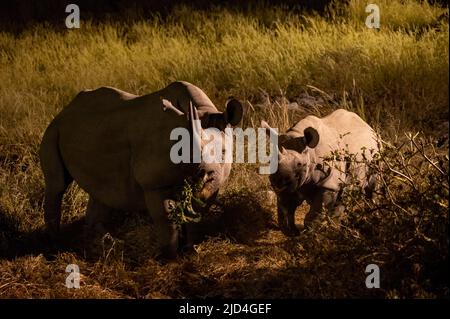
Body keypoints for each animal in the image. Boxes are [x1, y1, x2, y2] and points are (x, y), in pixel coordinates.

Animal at [40, 80, 243, 260]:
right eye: (180, 152)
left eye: (224, 152)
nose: (200, 175)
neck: (202, 110)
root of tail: (65, 110)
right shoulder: (152, 182)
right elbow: (165, 218)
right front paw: (168, 257)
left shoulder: (214, 184)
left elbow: (196, 214)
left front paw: (190, 251)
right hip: (53, 129)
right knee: (57, 186)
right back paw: (55, 249)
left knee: (100, 190)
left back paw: (101, 243)